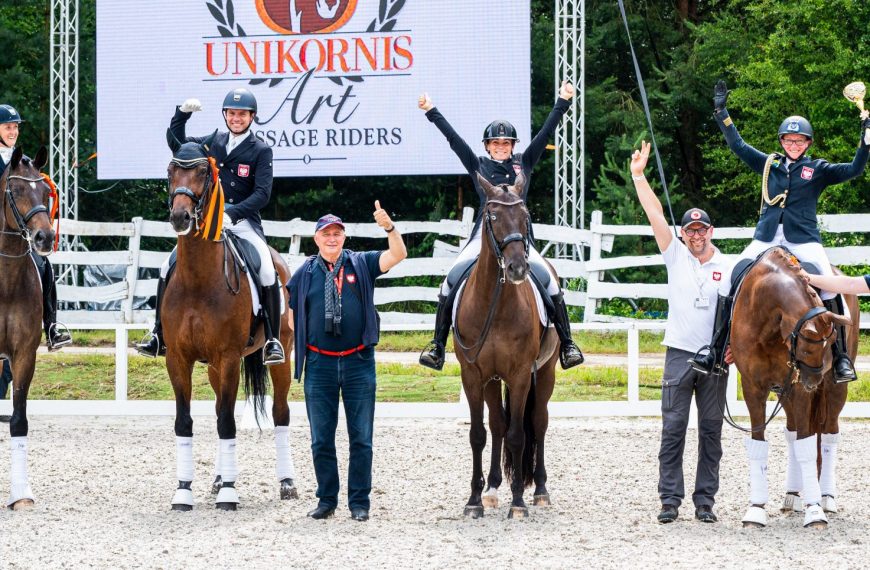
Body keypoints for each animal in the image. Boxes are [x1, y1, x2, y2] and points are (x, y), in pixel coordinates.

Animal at [164, 136, 300, 510]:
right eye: (170, 171)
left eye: (201, 173)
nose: (180, 217)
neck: (198, 279)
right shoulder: (178, 359)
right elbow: (185, 421)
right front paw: (184, 491)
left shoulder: (227, 357)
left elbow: (227, 423)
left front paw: (229, 493)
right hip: (213, 366)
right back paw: (218, 478)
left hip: (281, 356)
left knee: (280, 413)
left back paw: (287, 483)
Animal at [454, 174, 564, 520]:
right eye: (492, 216)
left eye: (525, 216)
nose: (517, 268)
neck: (496, 301)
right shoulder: (473, 375)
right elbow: (479, 434)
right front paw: (474, 500)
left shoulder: (519, 375)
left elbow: (519, 436)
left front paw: (518, 502)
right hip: (492, 380)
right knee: (498, 425)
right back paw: (491, 490)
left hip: (544, 373)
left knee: (538, 423)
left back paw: (540, 491)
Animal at [728, 248, 860, 528]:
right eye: (808, 348)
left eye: (834, 340)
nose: (813, 381)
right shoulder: (753, 386)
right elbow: (760, 442)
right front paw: (756, 510)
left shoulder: (798, 388)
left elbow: (807, 444)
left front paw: (815, 511)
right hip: (784, 389)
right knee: (793, 432)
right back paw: (793, 495)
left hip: (833, 390)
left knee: (829, 433)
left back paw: (826, 497)